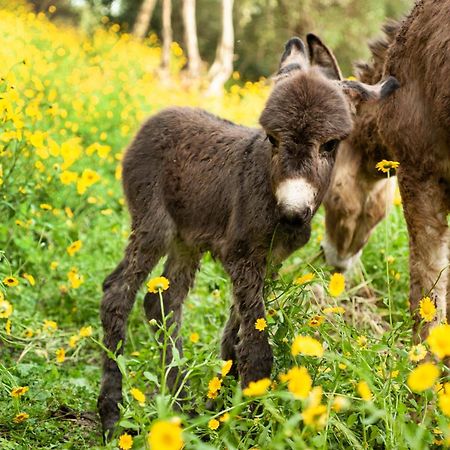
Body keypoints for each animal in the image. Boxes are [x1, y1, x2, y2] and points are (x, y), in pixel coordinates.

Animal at [97, 33, 398, 434]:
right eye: (272, 138)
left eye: (331, 144)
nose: (292, 213)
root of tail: (160, 114)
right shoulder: (242, 255)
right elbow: (256, 347)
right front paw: (249, 417)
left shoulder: (268, 261)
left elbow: (235, 334)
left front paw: (220, 407)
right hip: (153, 225)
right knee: (118, 292)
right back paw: (112, 412)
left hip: (186, 239)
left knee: (162, 300)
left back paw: (179, 402)